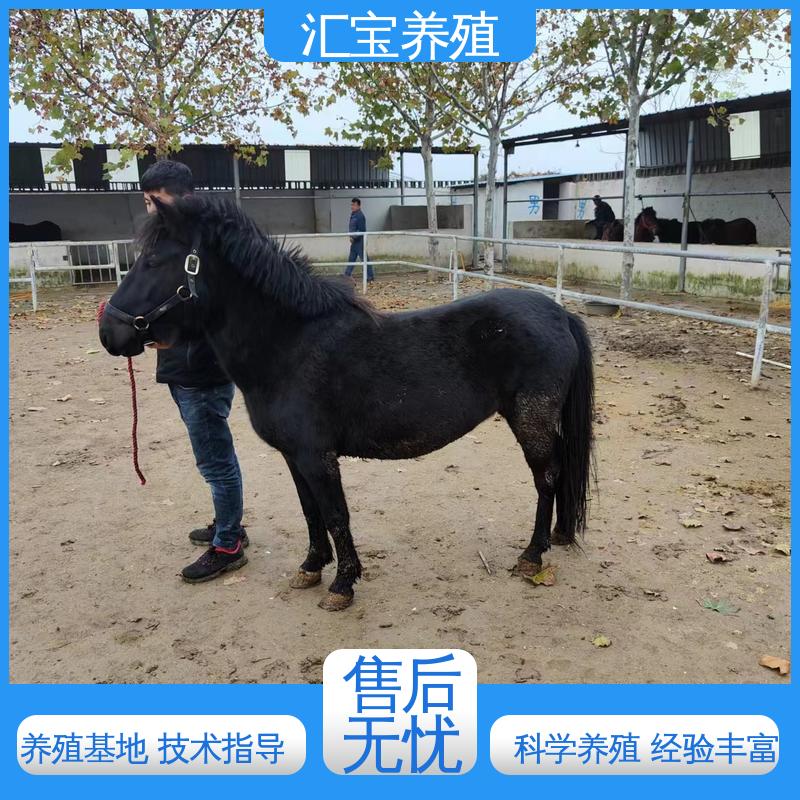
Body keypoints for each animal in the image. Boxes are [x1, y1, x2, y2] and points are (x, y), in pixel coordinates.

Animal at [98, 196, 595, 611]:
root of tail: (559, 314)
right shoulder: (295, 458)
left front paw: (342, 584)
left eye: (153, 261)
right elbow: (311, 513)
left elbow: (336, 515)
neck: (289, 345)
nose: (110, 332)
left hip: (529, 421)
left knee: (547, 478)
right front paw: (310, 568)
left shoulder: (318, 457)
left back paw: (532, 555)